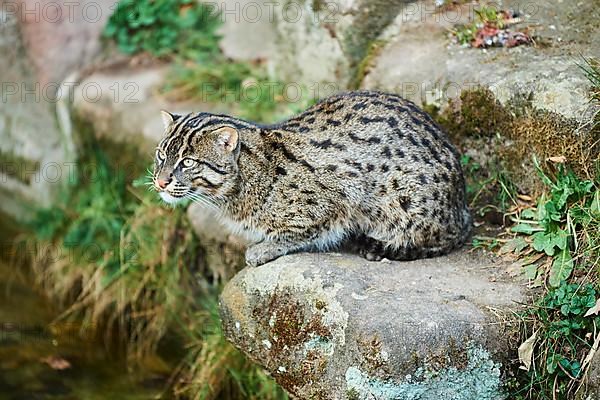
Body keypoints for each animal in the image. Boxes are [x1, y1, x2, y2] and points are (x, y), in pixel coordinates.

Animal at [154, 90, 474, 266]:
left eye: (187, 162)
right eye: (160, 156)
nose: (160, 182)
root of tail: (462, 204)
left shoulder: (338, 198)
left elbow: (299, 232)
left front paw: (265, 248)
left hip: (406, 204)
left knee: (447, 237)